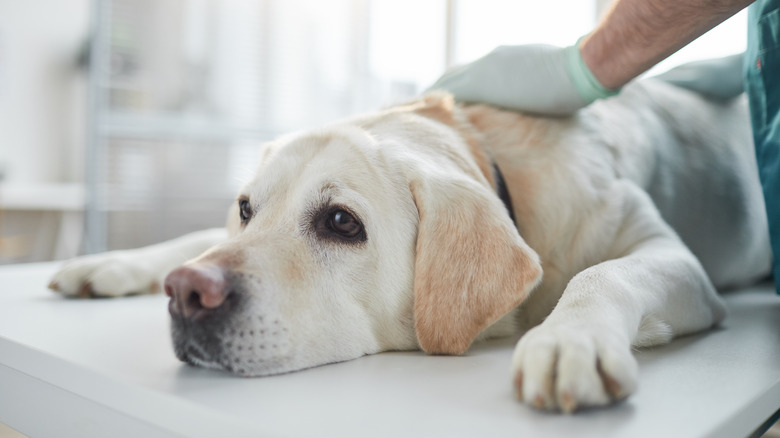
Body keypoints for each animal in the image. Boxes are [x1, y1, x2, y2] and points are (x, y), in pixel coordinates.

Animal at [47, 79, 768, 414]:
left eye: (342, 222)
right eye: (247, 209)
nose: (185, 293)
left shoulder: (673, 258)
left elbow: (604, 274)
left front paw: (571, 340)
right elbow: (199, 233)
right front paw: (107, 262)